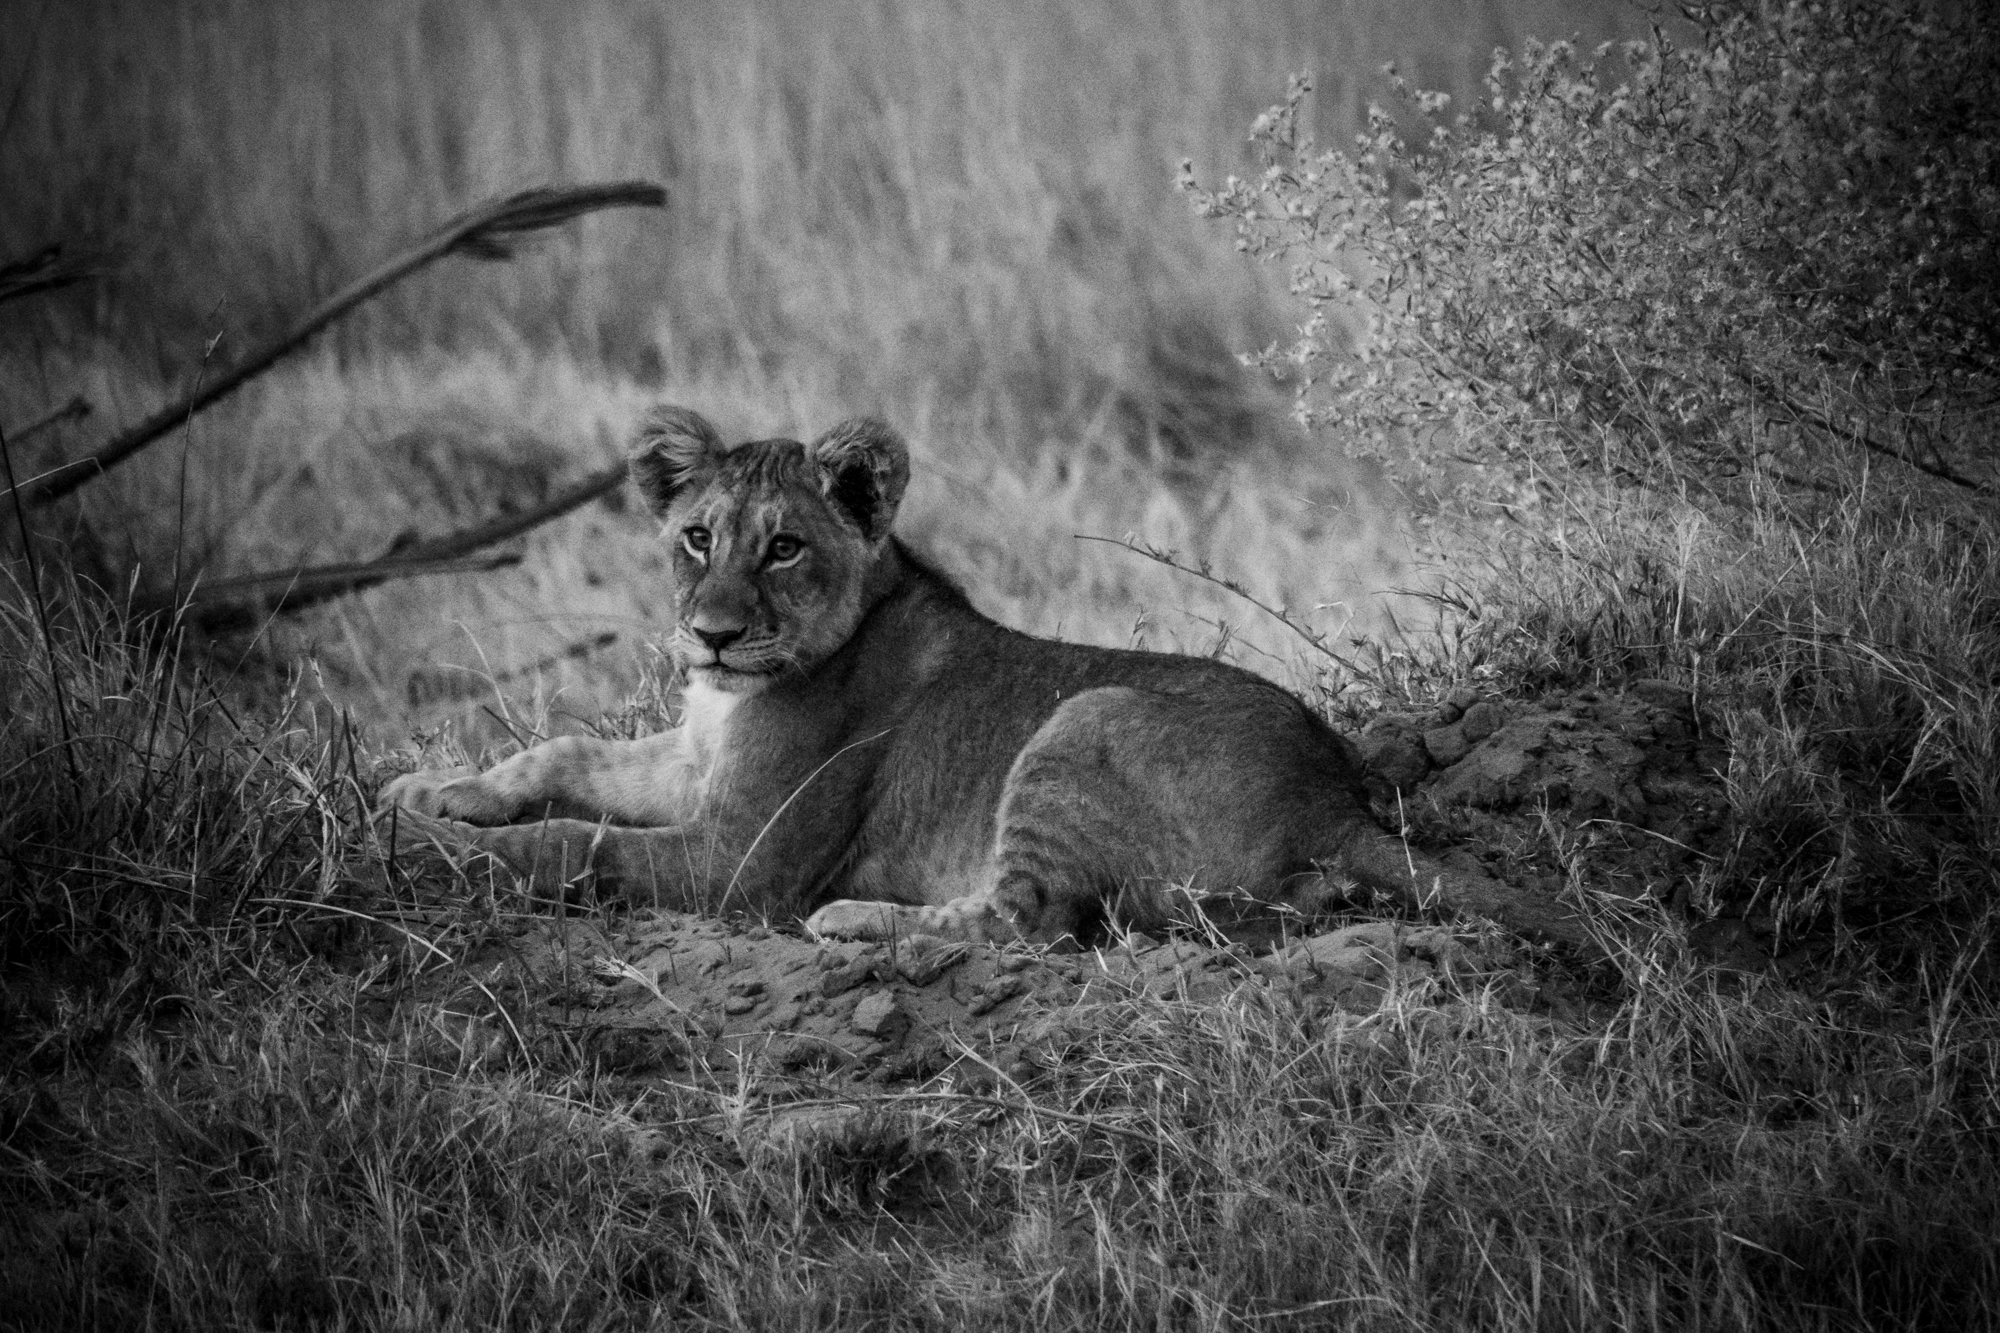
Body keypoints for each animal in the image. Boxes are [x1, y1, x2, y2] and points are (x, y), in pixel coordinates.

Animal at [379, 407, 1587, 949]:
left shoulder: (741, 862)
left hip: (1084, 714)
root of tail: (1333, 799)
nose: (711, 635)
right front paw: (431, 791)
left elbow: (572, 843)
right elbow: (563, 753)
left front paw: (436, 849)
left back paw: (856, 918)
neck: (733, 694)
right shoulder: (692, 763)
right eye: (696, 537)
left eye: (785, 548)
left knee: (1027, 916)